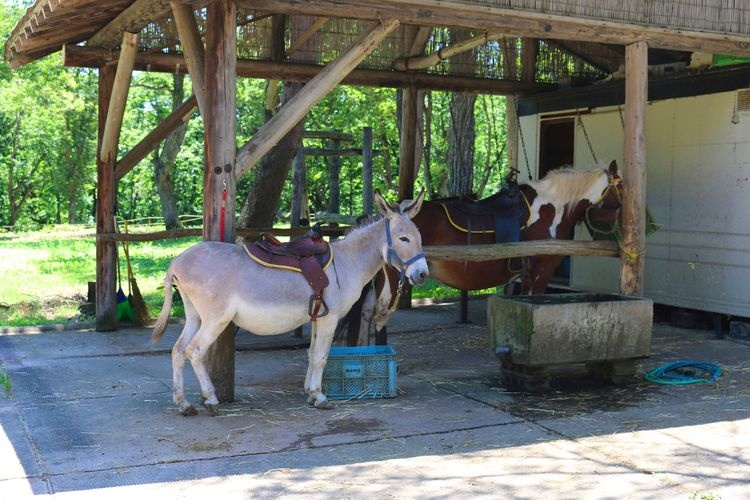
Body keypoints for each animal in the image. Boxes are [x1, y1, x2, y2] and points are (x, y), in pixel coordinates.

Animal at [344, 162, 624, 346]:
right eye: (622, 186)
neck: (550, 209)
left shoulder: (525, 275)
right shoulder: (542, 271)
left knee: (367, 312)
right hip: (394, 280)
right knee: (381, 314)